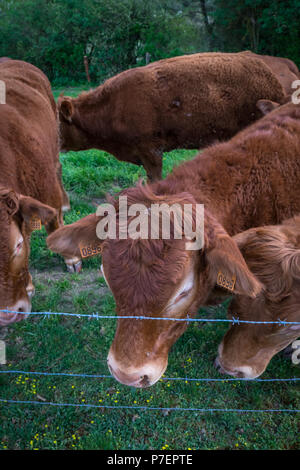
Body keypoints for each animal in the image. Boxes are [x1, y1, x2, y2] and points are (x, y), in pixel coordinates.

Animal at [0, 59, 74, 326]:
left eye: (18, 245)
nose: (8, 315)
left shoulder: (47, 190)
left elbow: (54, 224)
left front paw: (71, 259)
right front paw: (30, 285)